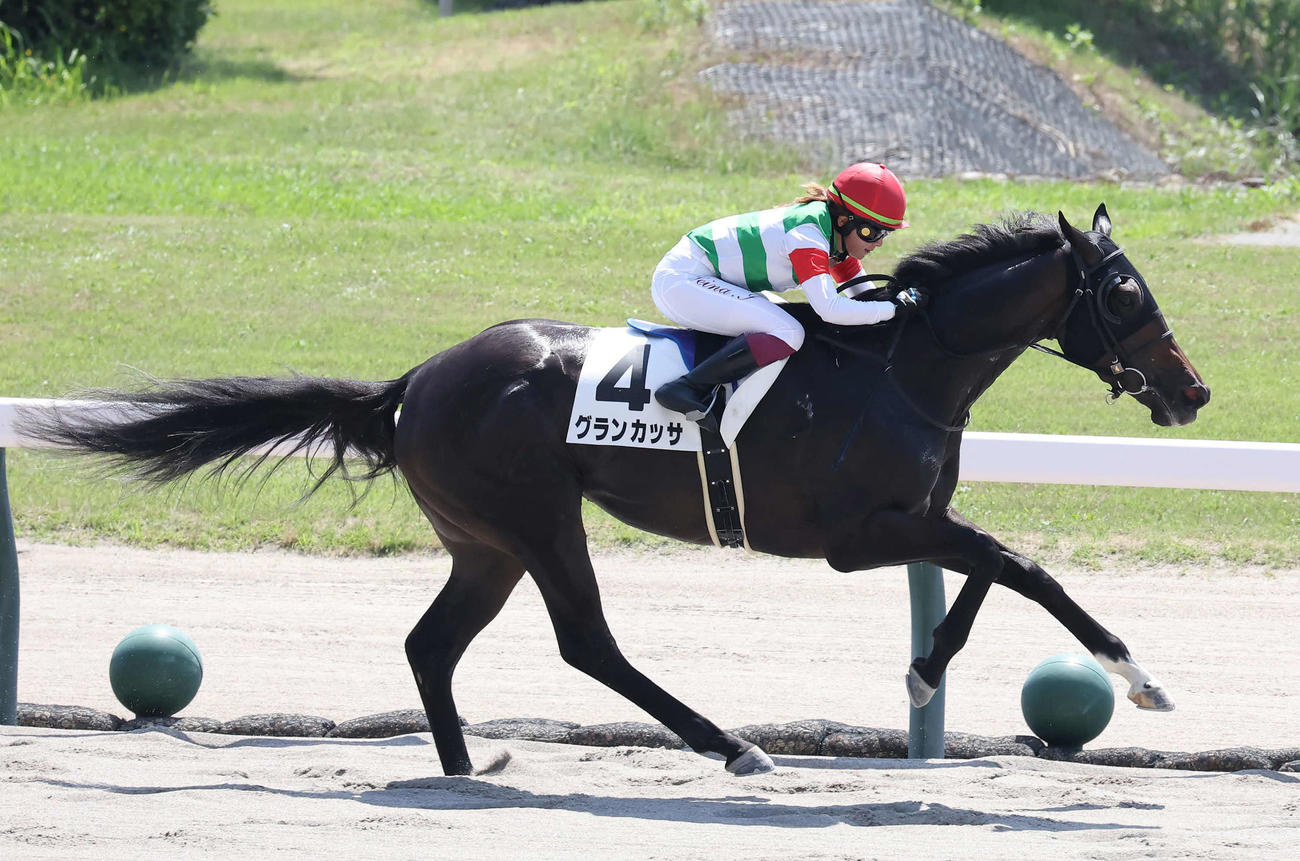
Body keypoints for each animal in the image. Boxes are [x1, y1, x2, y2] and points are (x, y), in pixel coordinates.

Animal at [20, 205, 1209, 777]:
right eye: (1122, 293)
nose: (1193, 390)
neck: (905, 367)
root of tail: (417, 380)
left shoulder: (913, 518)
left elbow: (995, 572)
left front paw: (931, 675)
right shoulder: (857, 532)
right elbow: (1019, 566)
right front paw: (1137, 679)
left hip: (485, 542)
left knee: (431, 645)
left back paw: (467, 767)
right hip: (537, 516)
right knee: (586, 641)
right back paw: (730, 744)